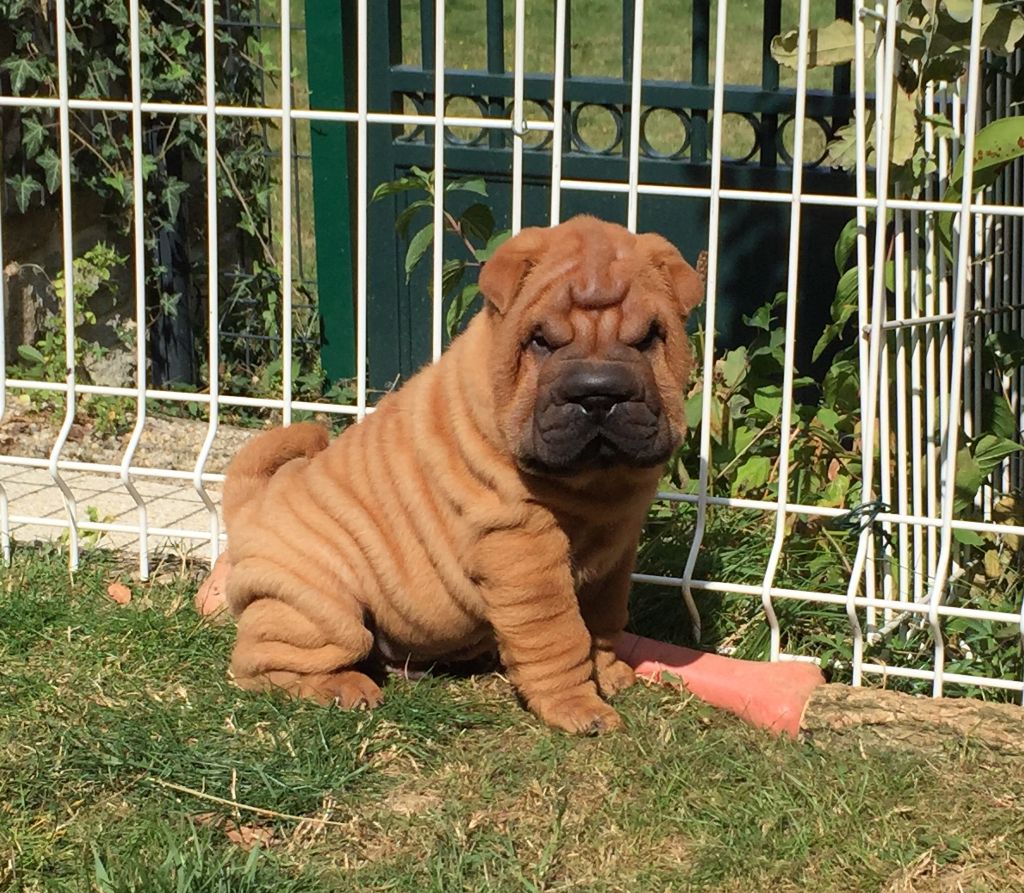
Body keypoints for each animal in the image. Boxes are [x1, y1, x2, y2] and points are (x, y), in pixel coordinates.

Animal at [220, 215, 704, 733]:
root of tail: (253, 504)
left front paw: (611, 675)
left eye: (648, 338)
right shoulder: (524, 550)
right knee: (262, 663)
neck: (595, 486)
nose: (598, 394)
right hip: (322, 606)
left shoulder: (616, 550)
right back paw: (344, 687)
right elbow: (558, 635)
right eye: (541, 341)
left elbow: (606, 620)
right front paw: (580, 709)